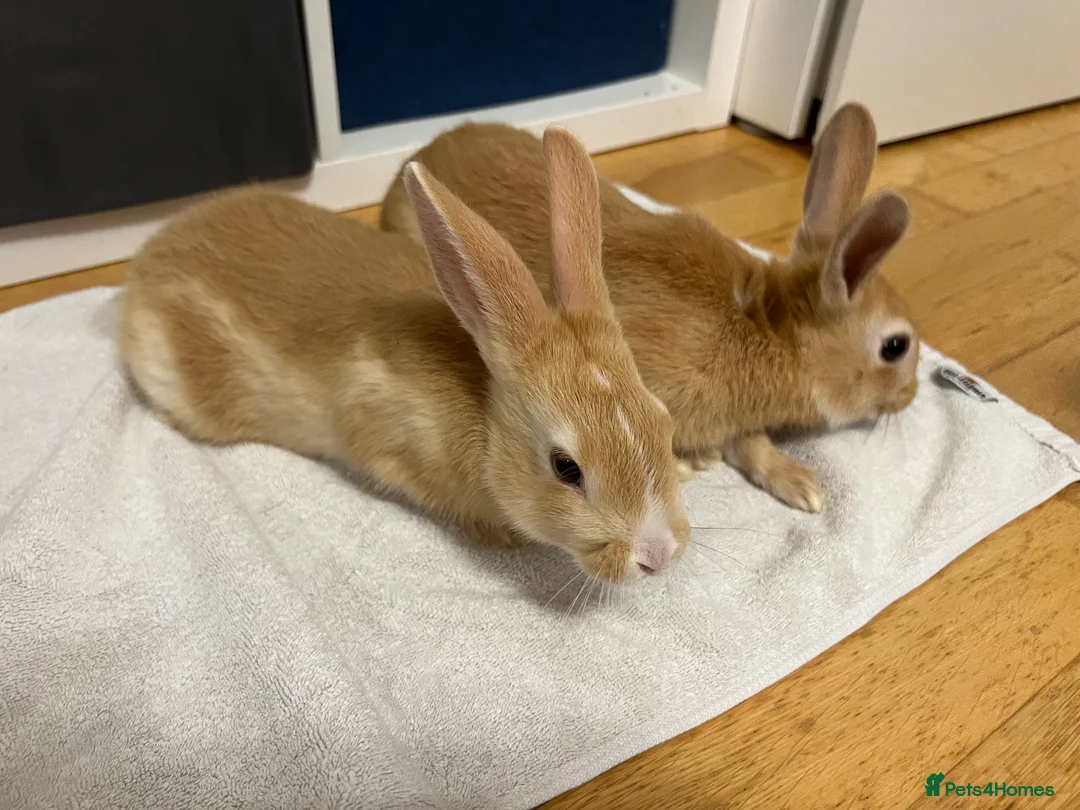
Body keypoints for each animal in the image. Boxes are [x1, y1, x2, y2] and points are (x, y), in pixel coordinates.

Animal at [117, 127, 690, 584]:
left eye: (662, 420)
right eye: (565, 468)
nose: (658, 556)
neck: (483, 405)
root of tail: (145, 263)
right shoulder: (381, 430)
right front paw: (500, 535)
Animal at [380, 104, 919, 513]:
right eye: (896, 347)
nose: (910, 398)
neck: (767, 326)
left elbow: (751, 443)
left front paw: (801, 485)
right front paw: (696, 467)